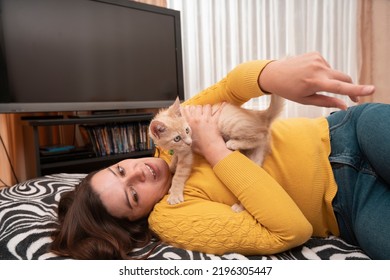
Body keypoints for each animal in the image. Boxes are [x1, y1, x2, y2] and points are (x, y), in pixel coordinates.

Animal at [149, 95, 284, 209]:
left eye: (187, 130)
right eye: (177, 138)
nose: (189, 142)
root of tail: (258, 115)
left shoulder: (187, 154)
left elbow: (179, 175)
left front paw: (175, 194)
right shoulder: (180, 149)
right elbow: (176, 157)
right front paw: (172, 166)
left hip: (229, 123)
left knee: (260, 135)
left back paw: (233, 143)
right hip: (256, 156)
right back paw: (240, 207)